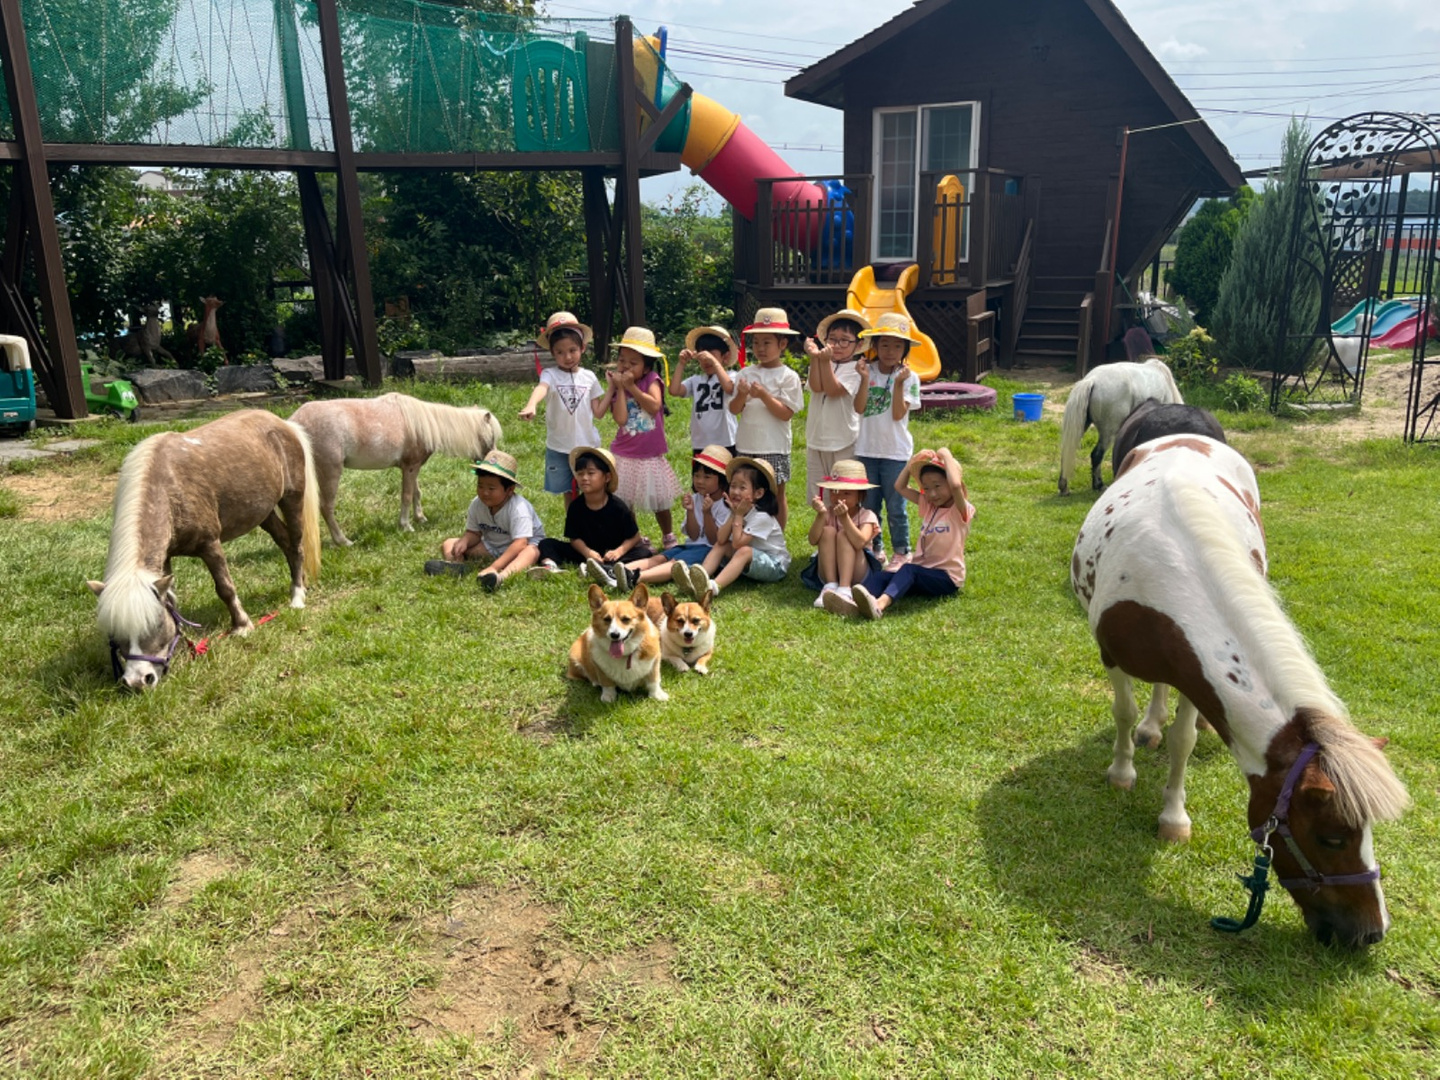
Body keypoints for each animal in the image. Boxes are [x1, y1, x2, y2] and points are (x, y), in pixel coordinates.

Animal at [87, 408, 321, 688]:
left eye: (154, 625)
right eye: (114, 632)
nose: (137, 681)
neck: (168, 486)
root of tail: (283, 424)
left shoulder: (210, 545)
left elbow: (225, 588)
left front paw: (242, 627)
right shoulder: (165, 559)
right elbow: (172, 600)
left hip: (292, 499)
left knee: (296, 547)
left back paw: (297, 597)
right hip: (264, 514)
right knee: (285, 544)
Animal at [285, 391, 501, 550]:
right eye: (490, 437)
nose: (492, 463)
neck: (420, 424)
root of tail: (294, 423)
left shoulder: (412, 468)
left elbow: (416, 492)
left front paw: (420, 518)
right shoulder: (410, 468)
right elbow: (406, 495)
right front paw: (406, 525)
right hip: (331, 473)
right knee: (326, 507)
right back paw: (343, 541)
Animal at [1077, 434, 1411, 944]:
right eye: (1333, 836)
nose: (1372, 932)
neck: (1169, 570)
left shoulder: (1192, 674)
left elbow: (1183, 740)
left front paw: (1173, 817)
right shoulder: (1112, 656)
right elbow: (1124, 713)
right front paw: (1122, 772)